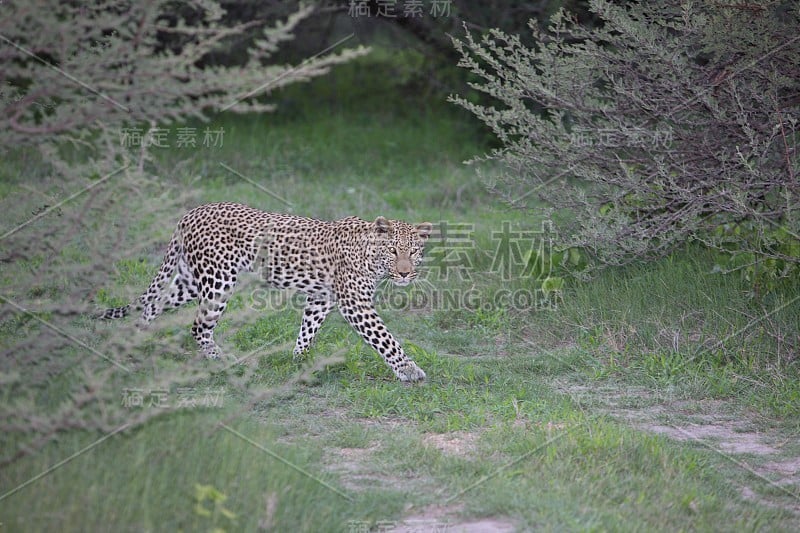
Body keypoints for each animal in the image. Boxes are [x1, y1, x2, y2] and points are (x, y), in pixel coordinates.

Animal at [101, 202, 438, 380]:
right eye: (393, 251)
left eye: (414, 251)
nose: (405, 273)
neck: (369, 255)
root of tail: (191, 213)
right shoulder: (356, 304)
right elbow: (386, 339)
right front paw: (409, 370)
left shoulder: (322, 298)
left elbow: (308, 328)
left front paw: (299, 359)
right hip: (218, 280)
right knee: (197, 325)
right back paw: (219, 360)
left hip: (190, 281)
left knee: (154, 303)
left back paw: (133, 342)